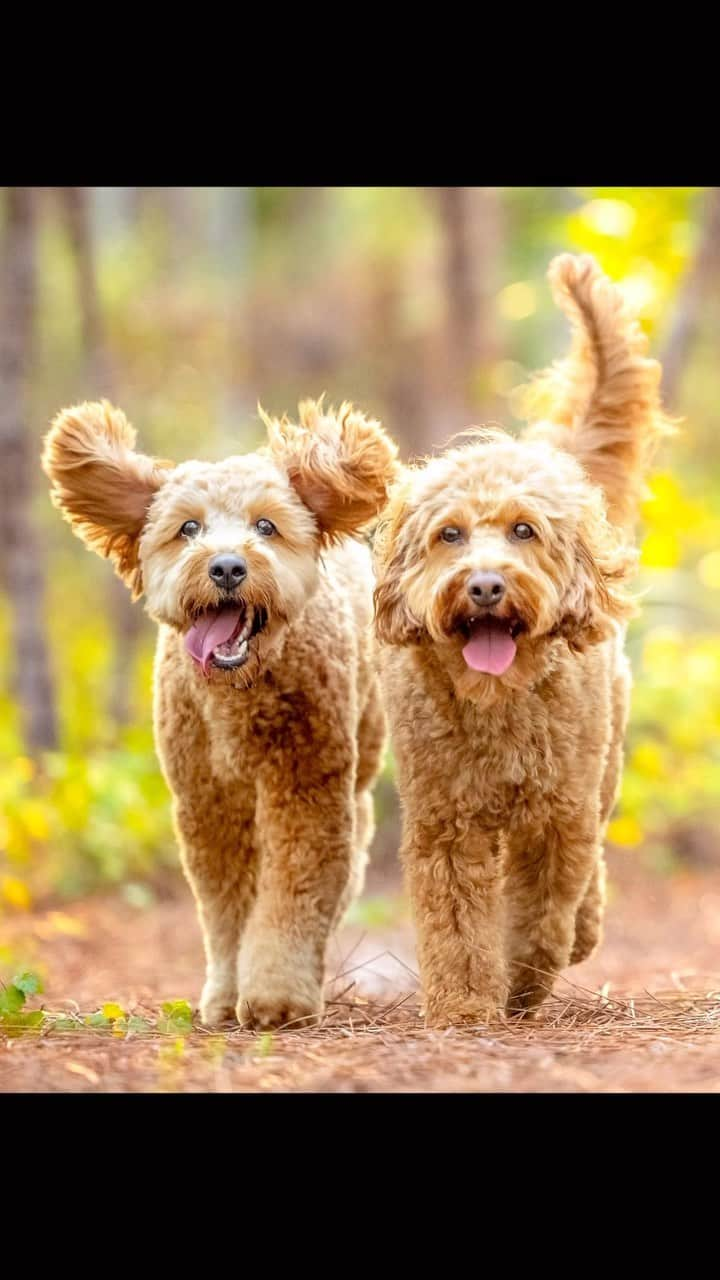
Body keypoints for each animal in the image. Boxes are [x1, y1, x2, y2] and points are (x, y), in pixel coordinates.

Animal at [43, 399, 397, 1029]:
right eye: (188, 528)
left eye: (266, 527)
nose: (228, 567)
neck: (239, 695)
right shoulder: (208, 802)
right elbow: (227, 906)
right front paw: (227, 996)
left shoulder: (305, 789)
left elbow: (292, 893)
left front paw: (278, 997)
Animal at [371, 254, 671, 1024]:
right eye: (449, 535)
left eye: (523, 531)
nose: (483, 586)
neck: (499, 703)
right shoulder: (446, 823)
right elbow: (454, 922)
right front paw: (463, 1005)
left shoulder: (556, 819)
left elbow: (539, 917)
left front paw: (523, 983)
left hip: (602, 765)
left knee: (589, 877)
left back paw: (581, 935)